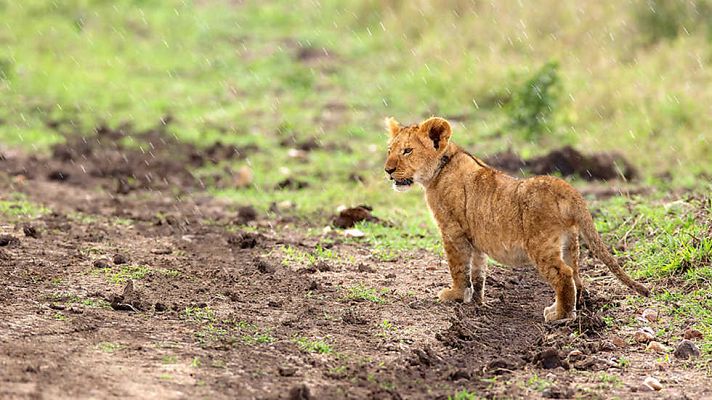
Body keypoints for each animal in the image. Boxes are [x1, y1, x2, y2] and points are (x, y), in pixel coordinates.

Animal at [383, 116, 649, 321]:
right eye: (389, 151)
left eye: (407, 150)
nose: (388, 171)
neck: (440, 169)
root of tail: (567, 189)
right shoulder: (475, 236)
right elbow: (478, 271)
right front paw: (477, 302)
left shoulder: (452, 231)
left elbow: (458, 267)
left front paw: (455, 296)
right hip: (569, 243)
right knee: (575, 276)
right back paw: (570, 310)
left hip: (540, 244)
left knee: (562, 275)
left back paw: (559, 316)